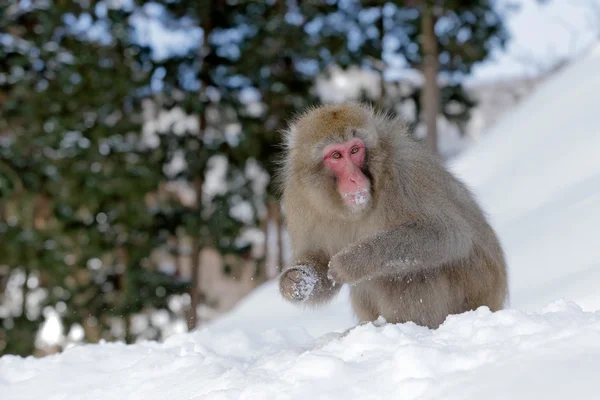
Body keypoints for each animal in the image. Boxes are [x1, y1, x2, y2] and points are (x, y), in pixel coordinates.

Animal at [276, 102, 506, 328]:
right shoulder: (298, 197)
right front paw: (295, 281)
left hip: (473, 288)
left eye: (355, 150)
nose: (353, 178)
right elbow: (319, 260)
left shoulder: (404, 171)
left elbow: (447, 234)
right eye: (336, 155)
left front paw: (351, 262)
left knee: (408, 272)